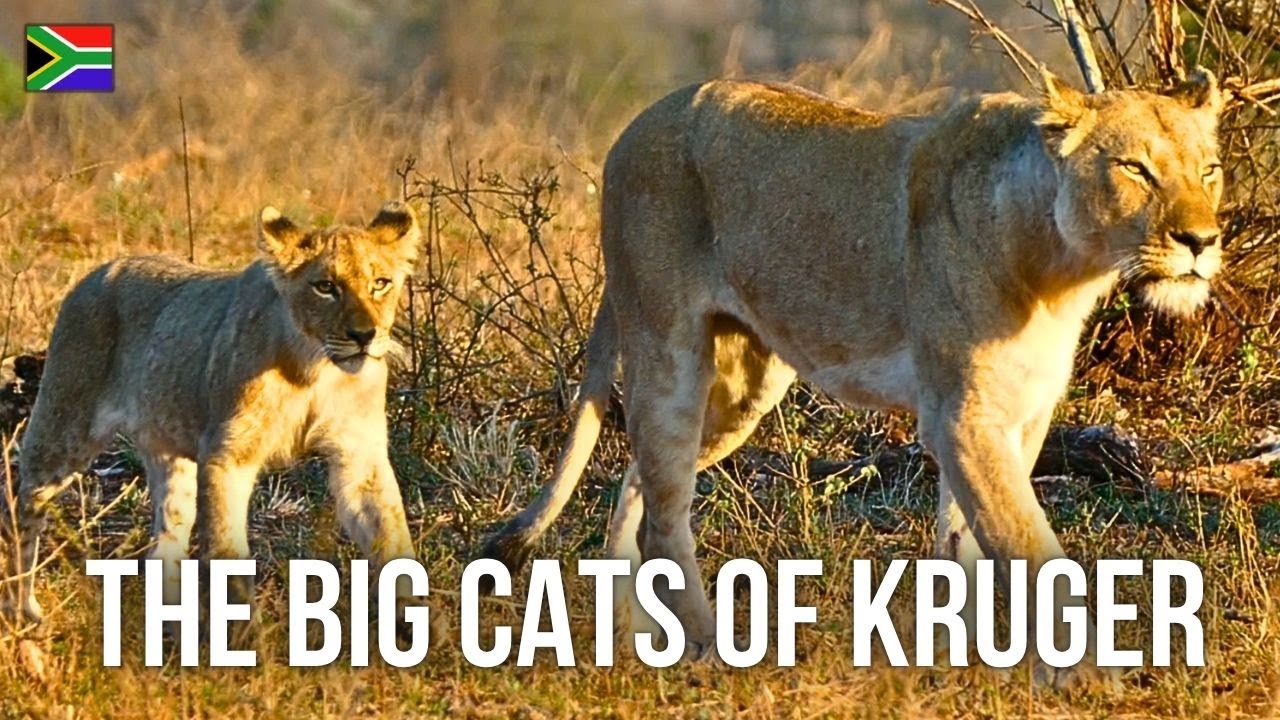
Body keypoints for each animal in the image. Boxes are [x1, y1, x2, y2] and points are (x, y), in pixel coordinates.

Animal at [6, 201, 423, 624]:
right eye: (325, 287)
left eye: (380, 283)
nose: (364, 336)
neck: (316, 368)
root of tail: (97, 272)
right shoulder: (228, 456)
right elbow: (227, 555)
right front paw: (242, 635)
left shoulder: (359, 458)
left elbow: (392, 538)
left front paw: (417, 623)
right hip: (63, 429)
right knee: (22, 510)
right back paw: (22, 610)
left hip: (169, 452)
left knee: (164, 543)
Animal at [483, 69, 1226, 683]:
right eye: (1136, 169)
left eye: (1210, 171)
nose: (1202, 241)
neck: (1061, 269)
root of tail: (637, 124)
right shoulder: (962, 416)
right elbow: (1028, 545)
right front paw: (1088, 674)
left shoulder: (1021, 414)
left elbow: (966, 539)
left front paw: (960, 660)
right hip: (668, 346)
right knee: (664, 509)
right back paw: (710, 650)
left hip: (743, 390)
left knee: (641, 476)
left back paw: (634, 633)